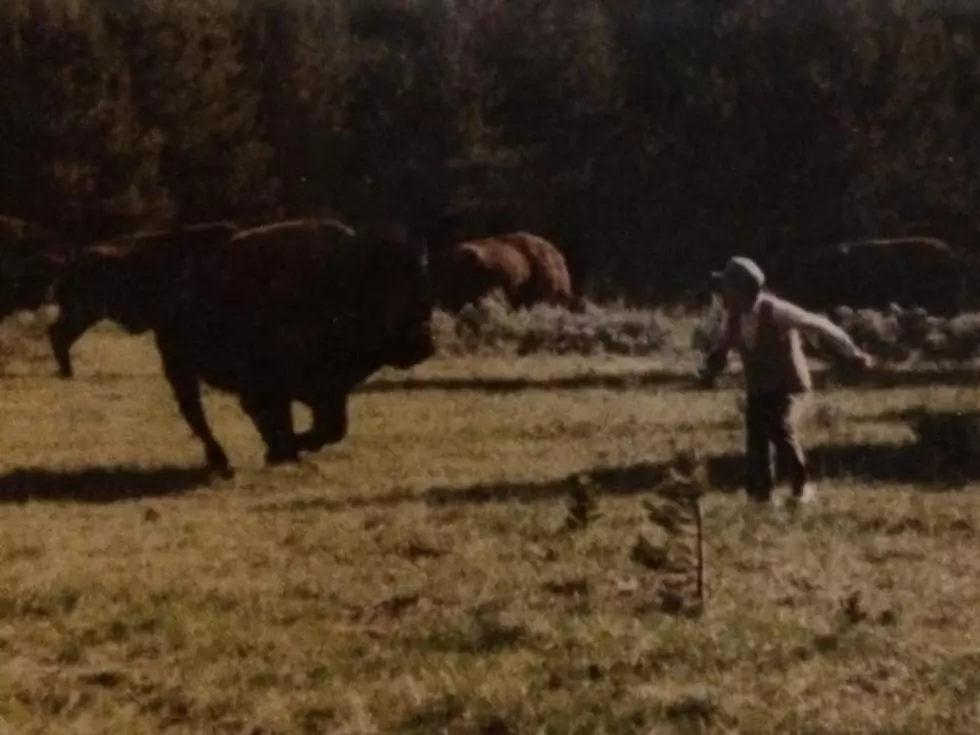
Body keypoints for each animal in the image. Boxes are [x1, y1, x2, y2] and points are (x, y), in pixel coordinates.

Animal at [148, 218, 432, 478]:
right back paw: (220, 460)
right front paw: (280, 452)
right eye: (386, 292)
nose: (424, 344)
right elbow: (278, 419)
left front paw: (284, 451)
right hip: (180, 370)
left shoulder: (328, 391)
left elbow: (332, 428)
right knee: (195, 414)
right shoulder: (265, 386)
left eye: (420, 289)